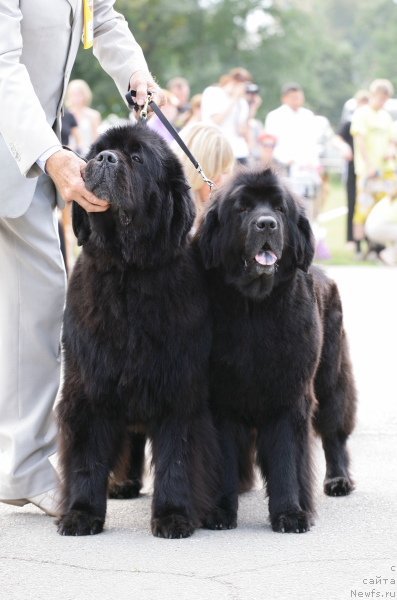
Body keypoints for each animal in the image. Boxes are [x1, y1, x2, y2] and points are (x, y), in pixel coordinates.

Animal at [55, 123, 218, 540]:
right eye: (97, 150)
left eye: (136, 157)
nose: (105, 159)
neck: (127, 273)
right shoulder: (90, 384)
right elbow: (87, 457)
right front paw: (81, 513)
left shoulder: (179, 386)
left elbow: (177, 457)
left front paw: (174, 516)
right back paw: (123, 484)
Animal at [196, 169, 358, 536]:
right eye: (242, 208)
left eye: (280, 209)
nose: (267, 224)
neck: (256, 309)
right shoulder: (222, 399)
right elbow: (225, 458)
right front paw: (221, 511)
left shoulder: (290, 395)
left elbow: (286, 459)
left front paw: (290, 513)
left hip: (330, 376)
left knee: (334, 431)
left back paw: (339, 480)